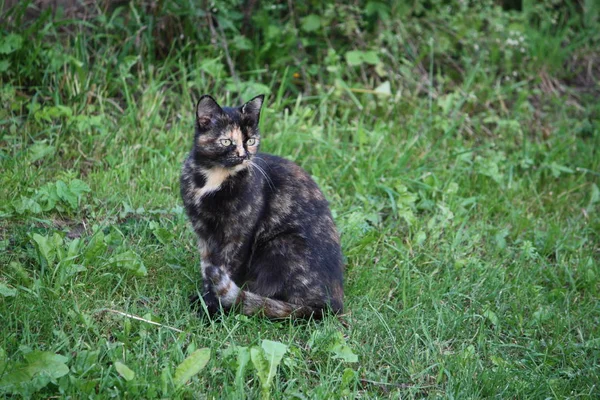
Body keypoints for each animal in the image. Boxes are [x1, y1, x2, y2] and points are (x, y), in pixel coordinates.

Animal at [179, 94, 342, 318]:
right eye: (226, 141)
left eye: (251, 141)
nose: (243, 155)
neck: (213, 179)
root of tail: (332, 306)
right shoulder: (203, 233)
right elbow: (207, 268)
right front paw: (205, 300)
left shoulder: (238, 235)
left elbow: (226, 268)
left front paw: (211, 308)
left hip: (282, 243)